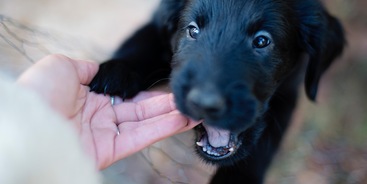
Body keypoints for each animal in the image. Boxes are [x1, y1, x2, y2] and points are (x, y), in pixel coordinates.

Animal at [90, 0, 344, 183]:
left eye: (262, 41)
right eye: (193, 30)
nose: (204, 103)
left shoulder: (288, 94)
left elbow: (260, 147)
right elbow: (143, 41)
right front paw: (115, 72)